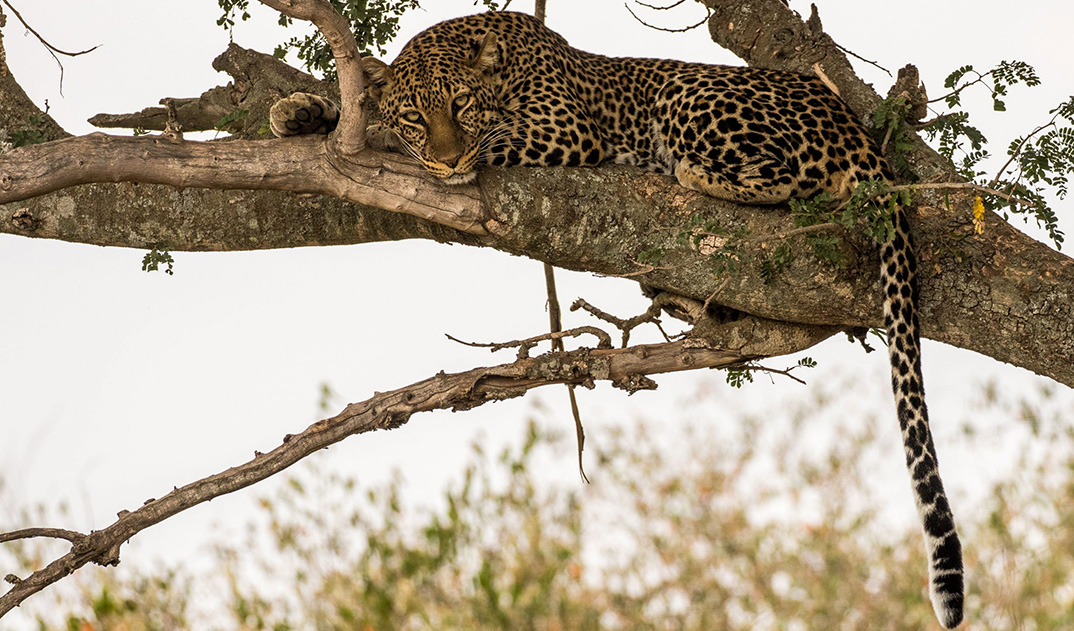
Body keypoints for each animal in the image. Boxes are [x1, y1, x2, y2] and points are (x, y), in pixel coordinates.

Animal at [271, 11, 964, 627]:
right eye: (419, 115)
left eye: (461, 107)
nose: (447, 162)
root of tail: (859, 133)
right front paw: (303, 110)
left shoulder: (563, 129)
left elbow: (456, 140)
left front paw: (371, 133)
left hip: (692, 95)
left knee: (785, 177)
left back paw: (678, 170)